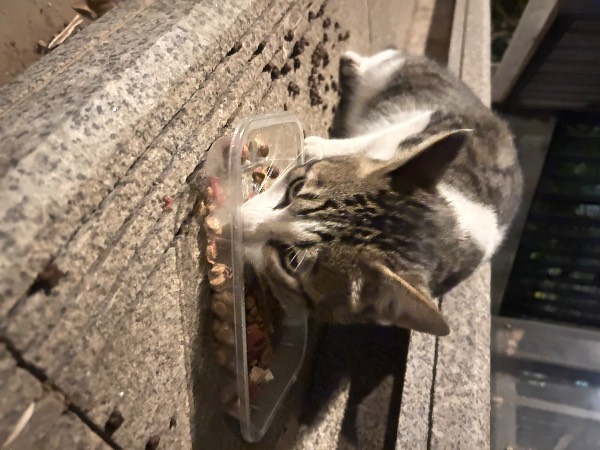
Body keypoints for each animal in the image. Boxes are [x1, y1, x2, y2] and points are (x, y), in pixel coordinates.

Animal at [241, 48, 522, 336]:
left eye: (292, 261)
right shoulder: (424, 124)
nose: (238, 221)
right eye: (296, 188)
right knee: (386, 62)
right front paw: (316, 147)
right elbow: (372, 143)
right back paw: (354, 64)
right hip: (404, 78)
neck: (452, 223)